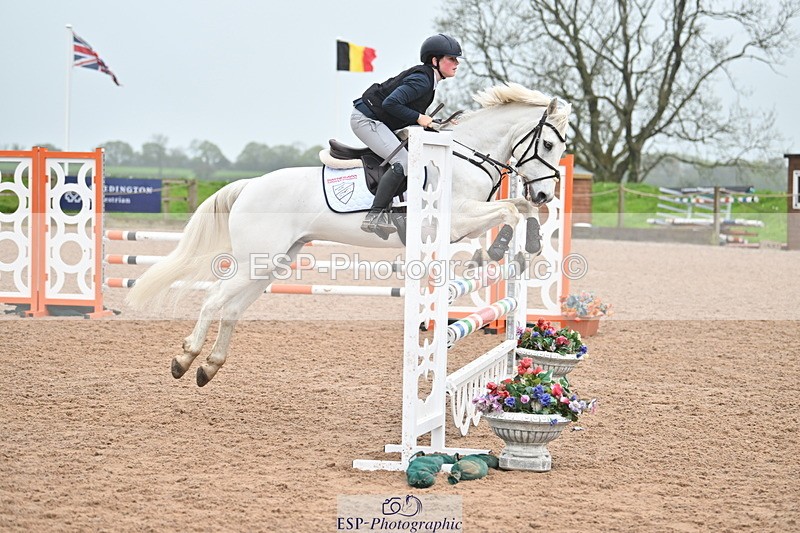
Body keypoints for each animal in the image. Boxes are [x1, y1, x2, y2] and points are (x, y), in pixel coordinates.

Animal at [126, 83, 570, 387]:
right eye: (548, 143)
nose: (547, 192)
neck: (467, 153)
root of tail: (250, 185)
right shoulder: (458, 218)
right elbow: (511, 208)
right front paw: (497, 250)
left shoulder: (464, 221)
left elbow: (520, 208)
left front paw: (529, 243)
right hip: (258, 259)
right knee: (213, 299)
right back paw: (185, 359)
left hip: (272, 263)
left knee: (231, 308)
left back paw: (209, 367)